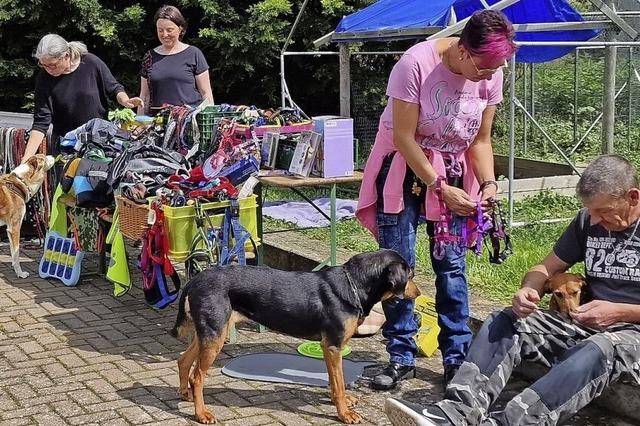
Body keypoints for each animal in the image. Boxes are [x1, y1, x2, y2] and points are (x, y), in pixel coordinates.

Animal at [171, 248, 420, 424]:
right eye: (410, 275)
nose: (418, 294)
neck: (354, 285)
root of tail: (196, 279)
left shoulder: (330, 349)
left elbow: (334, 381)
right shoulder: (333, 346)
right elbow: (339, 384)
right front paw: (344, 413)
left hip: (210, 333)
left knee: (183, 360)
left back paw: (185, 394)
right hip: (215, 335)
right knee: (197, 377)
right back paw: (201, 413)